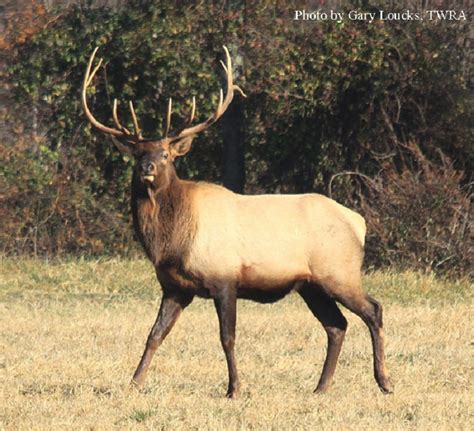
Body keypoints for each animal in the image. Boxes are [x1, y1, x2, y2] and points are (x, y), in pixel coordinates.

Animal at [80, 46, 392, 398]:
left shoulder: (224, 278)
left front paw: (235, 388)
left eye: (166, 155)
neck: (170, 243)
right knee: (337, 325)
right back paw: (321, 387)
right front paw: (134, 383)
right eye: (137, 153)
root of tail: (358, 222)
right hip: (311, 284)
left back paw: (384, 381)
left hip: (339, 271)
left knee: (373, 310)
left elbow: (227, 337)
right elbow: (154, 334)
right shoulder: (174, 287)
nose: (147, 167)